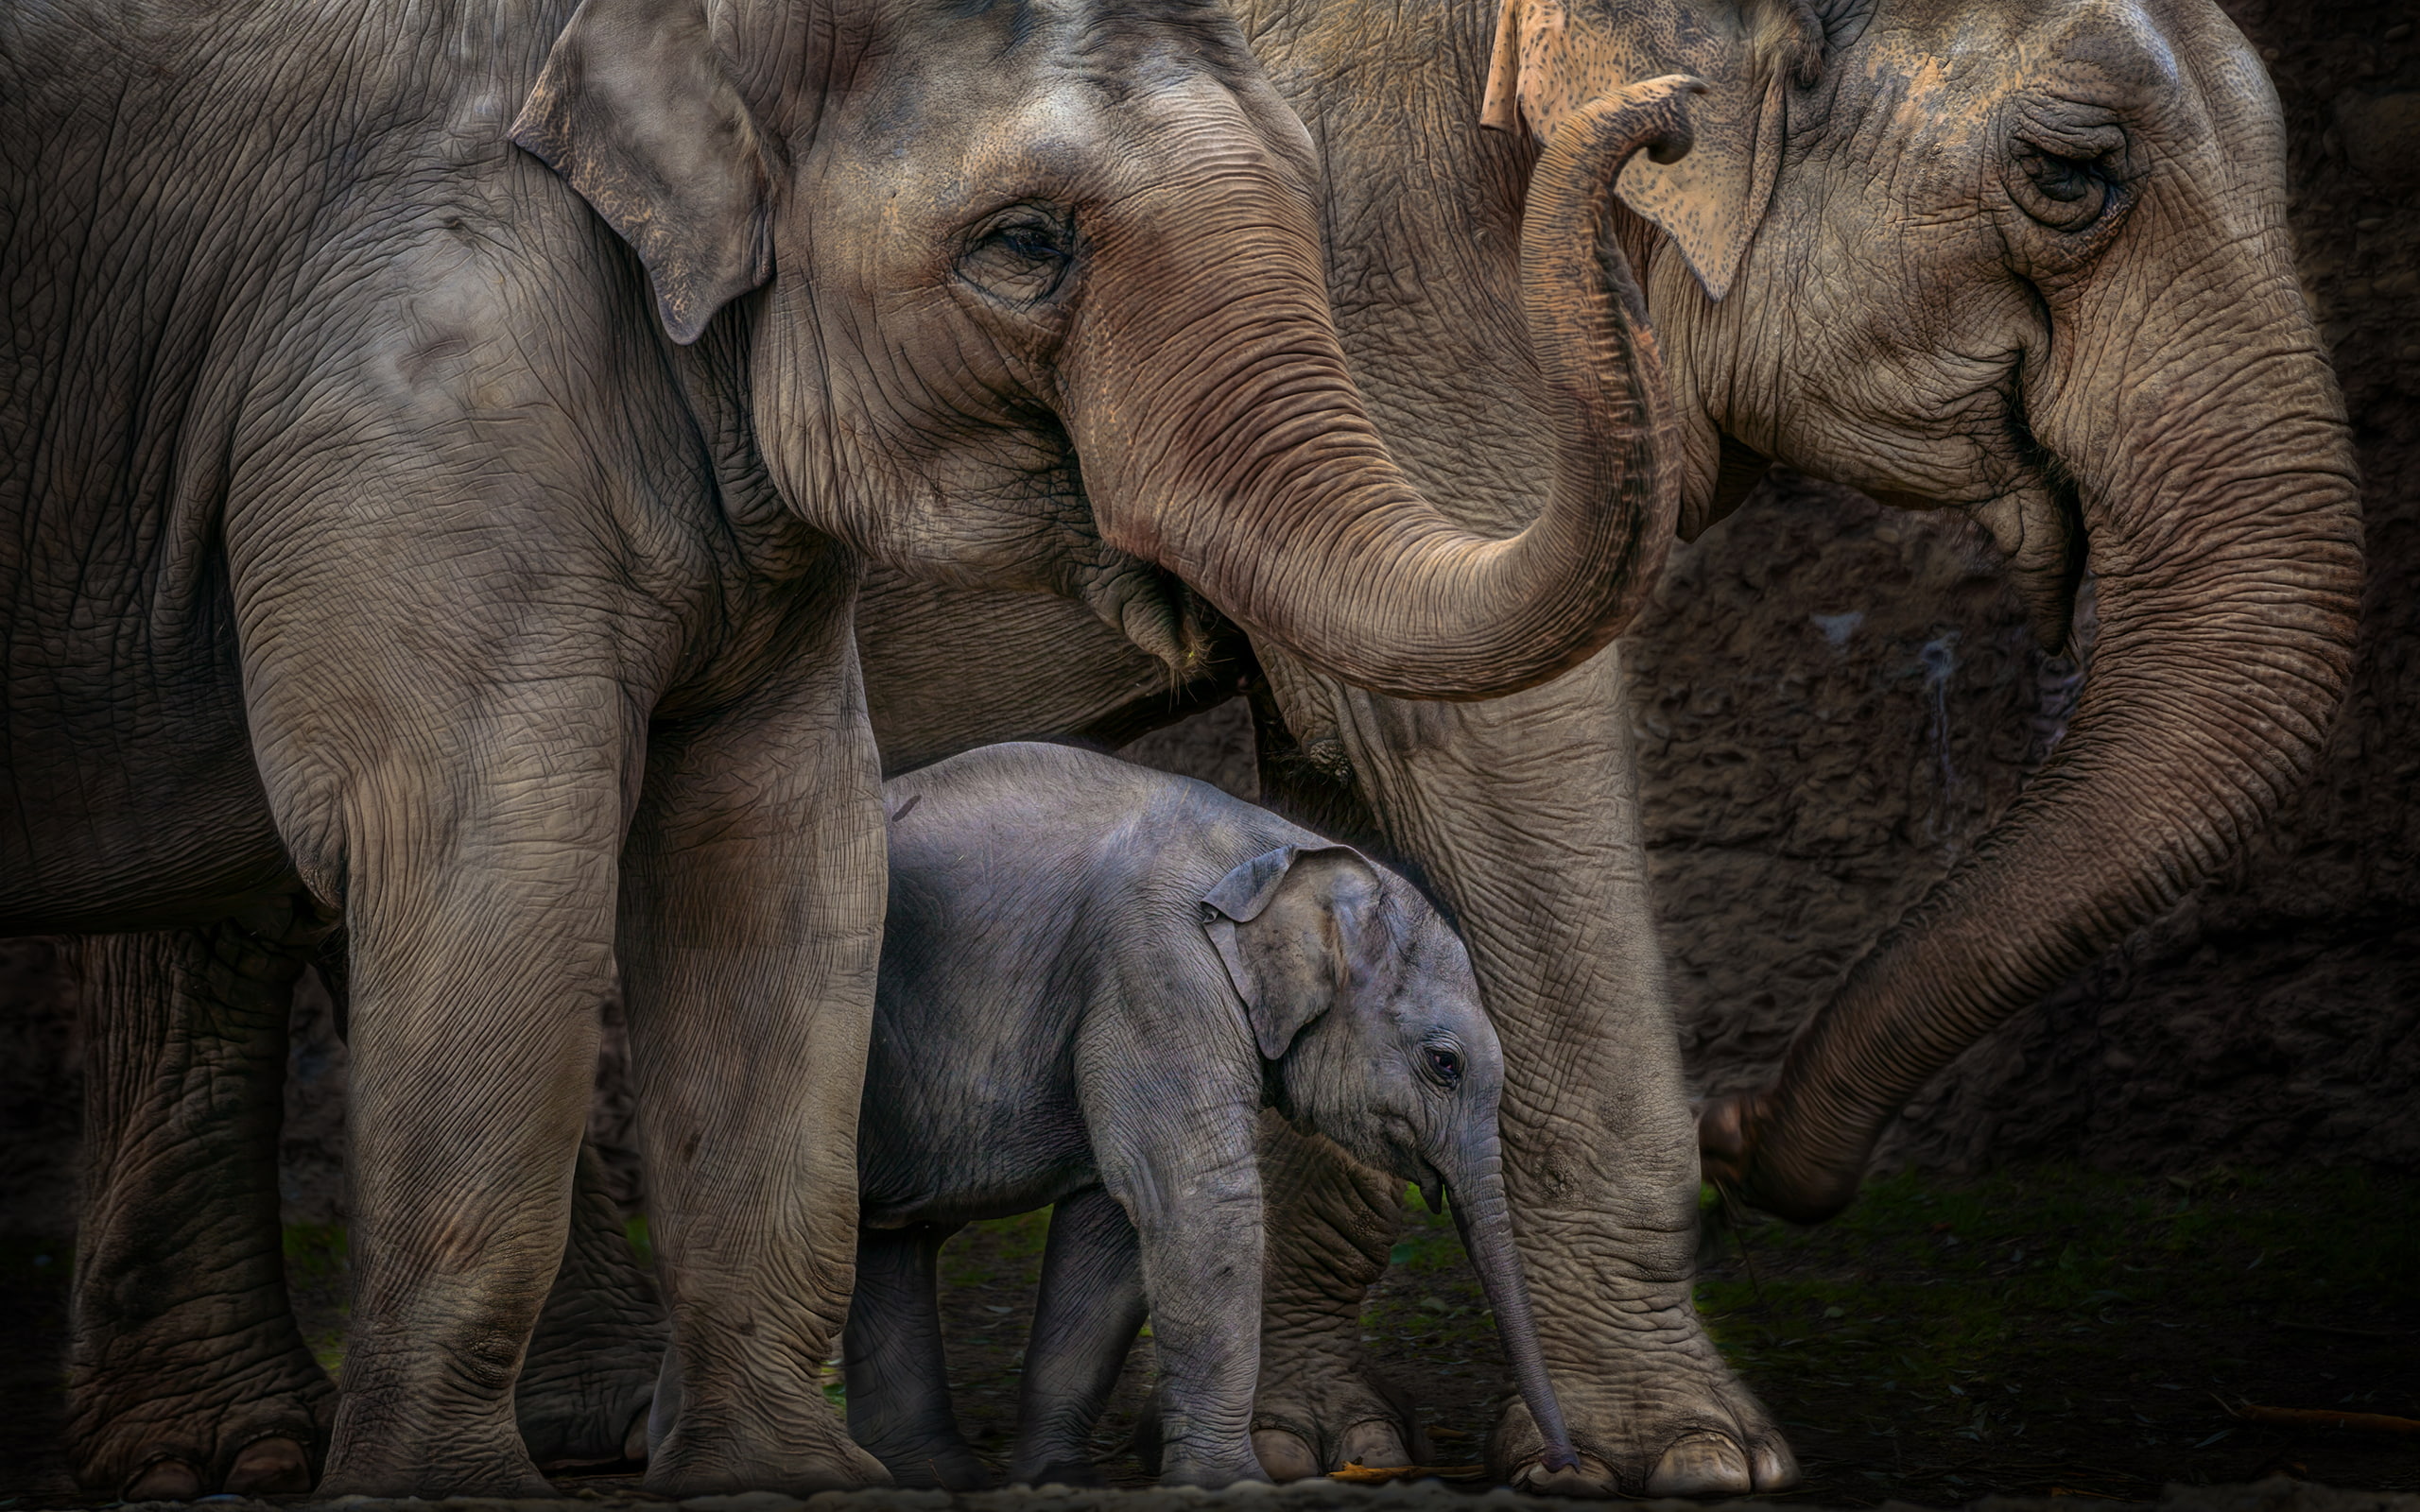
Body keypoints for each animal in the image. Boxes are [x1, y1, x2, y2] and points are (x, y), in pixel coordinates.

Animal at [738, 741, 1573, 1489]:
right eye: (1445, 1064)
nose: (1556, 1467)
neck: (1278, 847)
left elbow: (1110, 1228)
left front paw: (1063, 1482)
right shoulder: (1157, 970)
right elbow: (1193, 1199)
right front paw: (1234, 1486)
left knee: (891, 1237)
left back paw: (939, 1481)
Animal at [830, 0, 2362, 1494]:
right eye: (2070, 175)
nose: (1744, 1133)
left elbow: (1351, 781)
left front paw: (1310, 1448)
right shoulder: (1404, 277)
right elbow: (1497, 759)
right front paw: (1686, 1458)